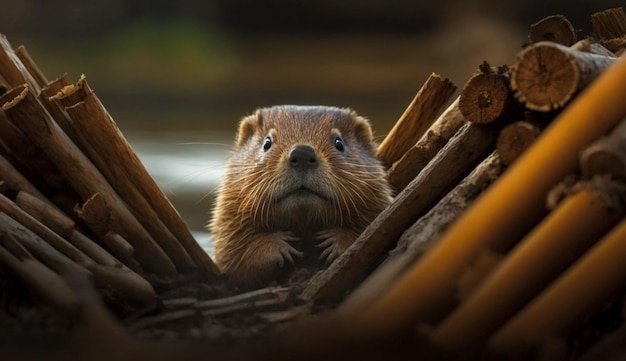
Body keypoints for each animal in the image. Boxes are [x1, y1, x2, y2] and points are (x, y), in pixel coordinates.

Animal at [210, 105, 390, 288]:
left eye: (339, 142)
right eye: (267, 142)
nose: (302, 152)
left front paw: (334, 242)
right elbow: (235, 259)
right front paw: (282, 246)